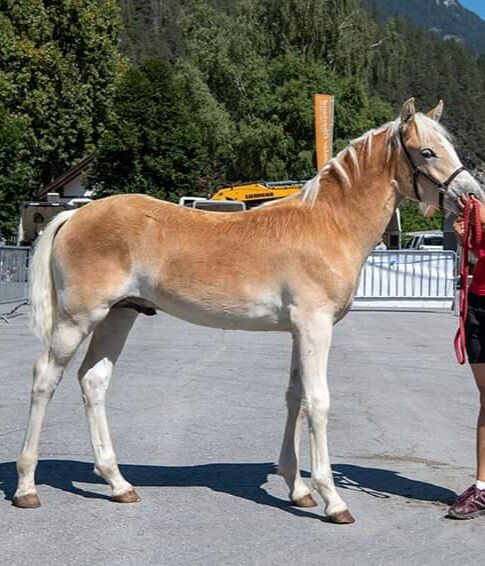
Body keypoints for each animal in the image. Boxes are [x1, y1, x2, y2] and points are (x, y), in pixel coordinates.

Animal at [11, 96, 480, 524]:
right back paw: (26, 487)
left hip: (118, 316)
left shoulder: (298, 331)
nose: (471, 195)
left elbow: (294, 398)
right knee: (44, 378)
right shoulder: (315, 327)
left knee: (93, 381)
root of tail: (74, 216)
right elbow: (318, 402)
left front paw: (298, 490)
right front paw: (331, 499)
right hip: (77, 319)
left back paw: (118, 483)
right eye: (427, 152)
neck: (328, 224)